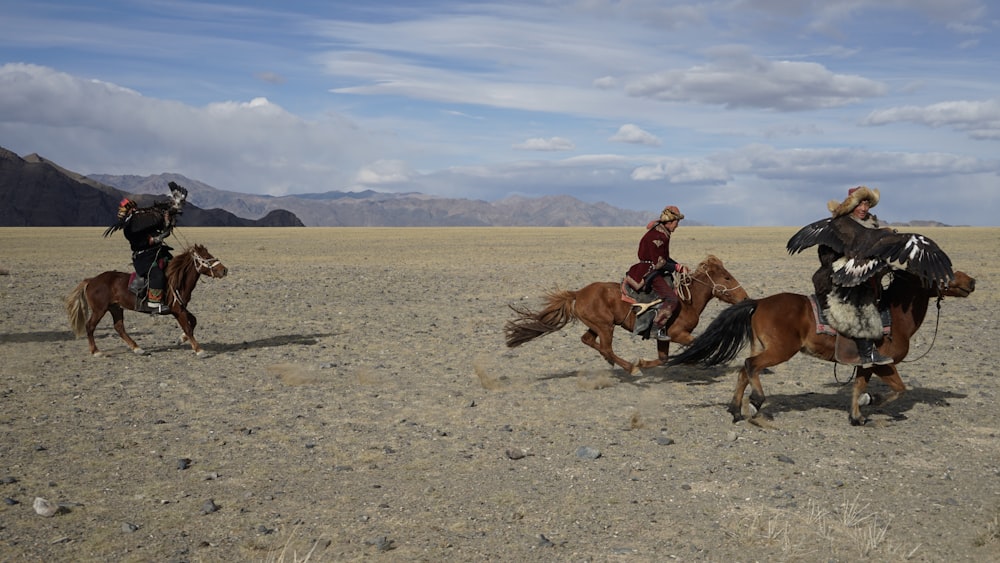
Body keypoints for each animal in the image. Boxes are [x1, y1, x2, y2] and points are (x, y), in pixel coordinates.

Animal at [67, 243, 228, 356]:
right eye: (205, 257)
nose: (224, 270)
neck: (176, 280)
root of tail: (91, 281)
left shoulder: (180, 307)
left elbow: (194, 321)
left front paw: (181, 339)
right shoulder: (177, 310)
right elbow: (188, 327)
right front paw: (199, 350)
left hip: (116, 308)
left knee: (119, 327)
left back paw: (137, 348)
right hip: (100, 309)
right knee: (90, 326)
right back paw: (96, 351)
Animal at [504, 256, 748, 374]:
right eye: (727, 277)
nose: (745, 297)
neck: (687, 301)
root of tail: (578, 293)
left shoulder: (664, 336)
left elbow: (663, 358)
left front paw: (645, 363)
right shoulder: (678, 333)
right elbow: (695, 344)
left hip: (597, 325)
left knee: (588, 340)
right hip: (606, 327)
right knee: (605, 347)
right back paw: (630, 368)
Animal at [668, 270, 972, 426]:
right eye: (945, 270)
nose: (971, 281)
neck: (895, 315)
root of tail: (760, 302)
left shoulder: (865, 363)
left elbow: (858, 386)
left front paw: (858, 416)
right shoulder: (883, 363)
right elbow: (898, 389)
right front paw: (873, 403)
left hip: (761, 346)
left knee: (744, 370)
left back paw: (735, 410)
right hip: (779, 350)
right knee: (750, 367)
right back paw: (755, 403)